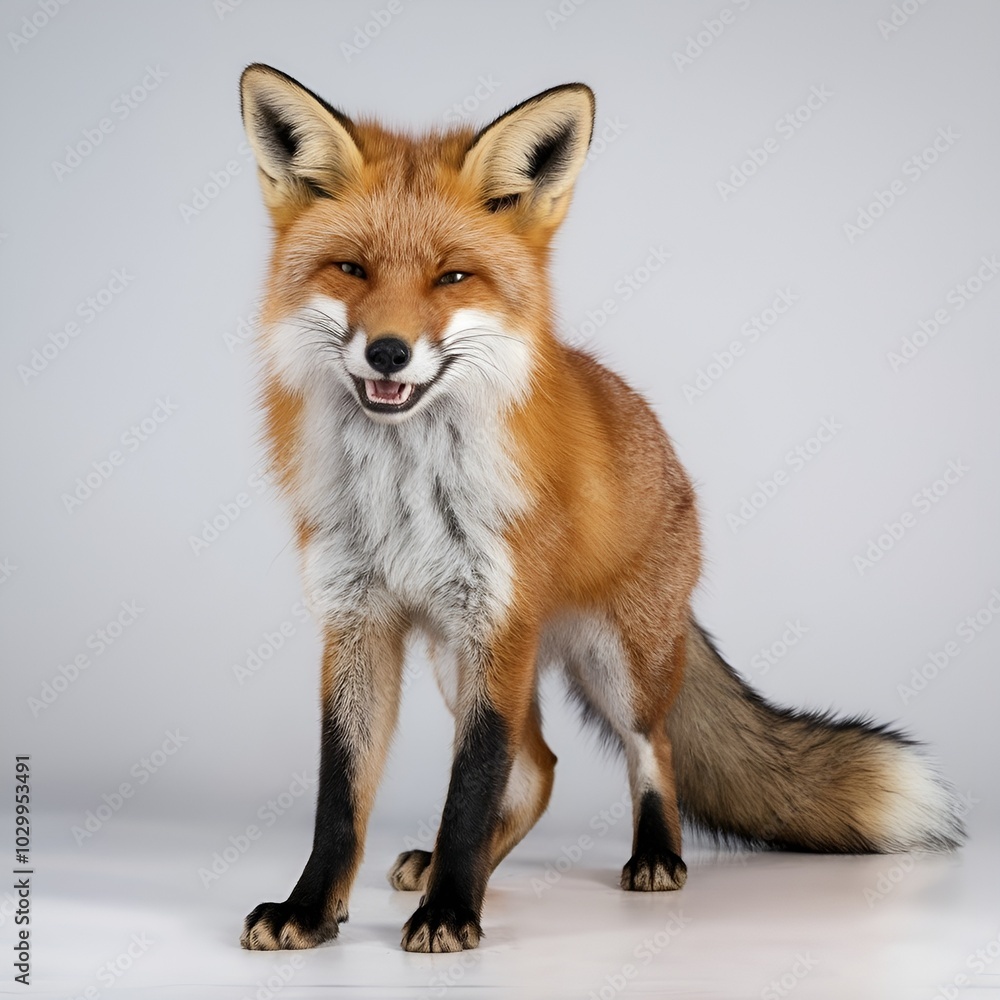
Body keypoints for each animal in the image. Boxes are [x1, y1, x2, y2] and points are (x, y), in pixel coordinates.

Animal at [236, 64, 963, 954]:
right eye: (351, 269)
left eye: (452, 277)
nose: (388, 353)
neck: (406, 487)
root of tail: (657, 438)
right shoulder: (357, 621)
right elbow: (342, 797)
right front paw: (312, 908)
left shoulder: (498, 624)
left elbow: (470, 788)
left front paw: (450, 912)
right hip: (455, 656)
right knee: (539, 769)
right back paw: (443, 863)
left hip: (616, 664)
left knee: (648, 749)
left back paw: (652, 855)